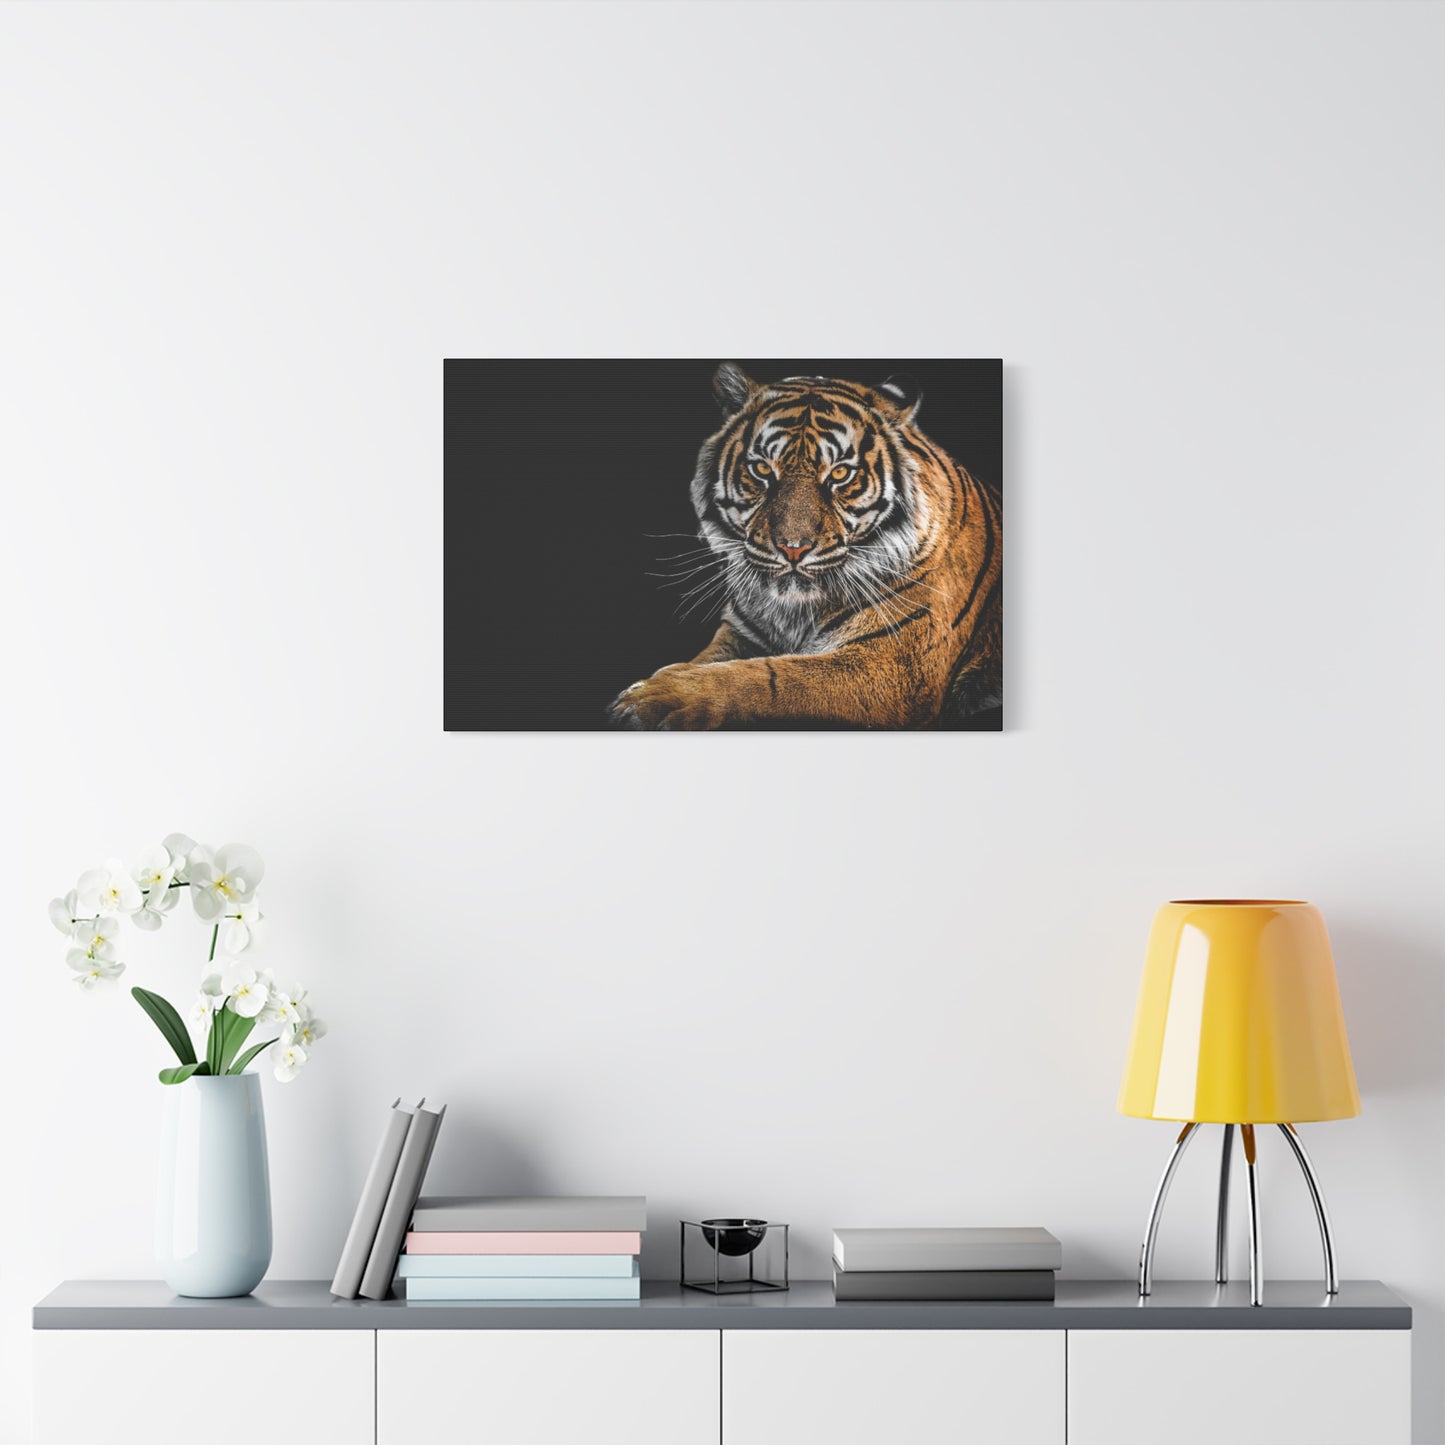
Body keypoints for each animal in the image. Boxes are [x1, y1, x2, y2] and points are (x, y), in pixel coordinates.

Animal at [610, 363, 1001, 730]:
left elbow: (770, 675)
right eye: (762, 470)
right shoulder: (740, 632)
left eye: (840, 473)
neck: (794, 612)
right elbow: (709, 661)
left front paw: (657, 697)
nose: (793, 548)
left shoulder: (896, 665)